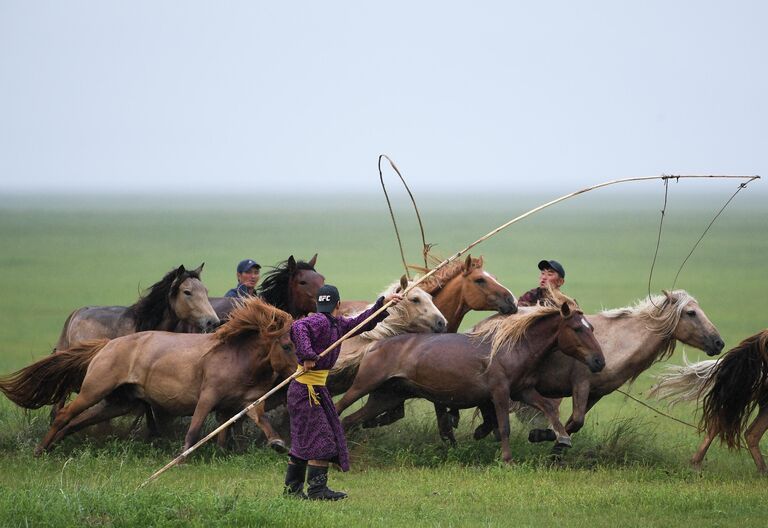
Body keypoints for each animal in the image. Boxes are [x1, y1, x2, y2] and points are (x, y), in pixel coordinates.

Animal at [0, 296, 296, 454]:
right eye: (287, 345)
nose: (303, 368)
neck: (237, 354)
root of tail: (106, 345)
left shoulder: (242, 403)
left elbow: (255, 422)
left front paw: (277, 443)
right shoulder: (207, 396)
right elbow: (194, 428)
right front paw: (184, 456)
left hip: (119, 402)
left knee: (77, 421)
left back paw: (54, 444)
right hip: (95, 389)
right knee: (64, 414)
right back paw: (40, 449)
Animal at [336, 294, 608, 464]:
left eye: (592, 328)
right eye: (577, 329)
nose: (599, 362)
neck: (512, 347)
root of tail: (373, 345)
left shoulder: (523, 391)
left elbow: (548, 409)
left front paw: (563, 438)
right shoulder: (500, 392)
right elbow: (504, 427)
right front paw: (507, 460)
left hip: (386, 396)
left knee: (350, 420)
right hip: (363, 386)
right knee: (339, 409)